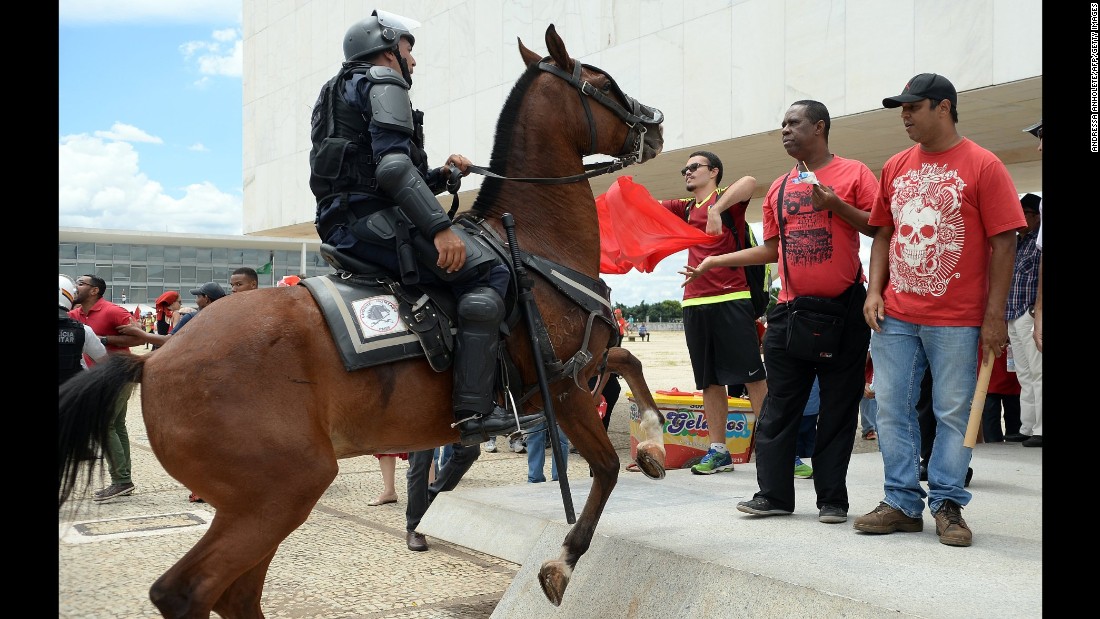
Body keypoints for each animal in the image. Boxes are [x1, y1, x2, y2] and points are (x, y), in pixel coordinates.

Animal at [60, 25, 668, 619]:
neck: (537, 244)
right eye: (605, 83)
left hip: (264, 503)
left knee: (235, 595)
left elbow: (629, 359)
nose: (656, 124)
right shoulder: (562, 386)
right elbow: (606, 469)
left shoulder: (583, 369)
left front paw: (655, 442)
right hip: (281, 493)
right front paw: (562, 561)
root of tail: (156, 360)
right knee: (187, 591)